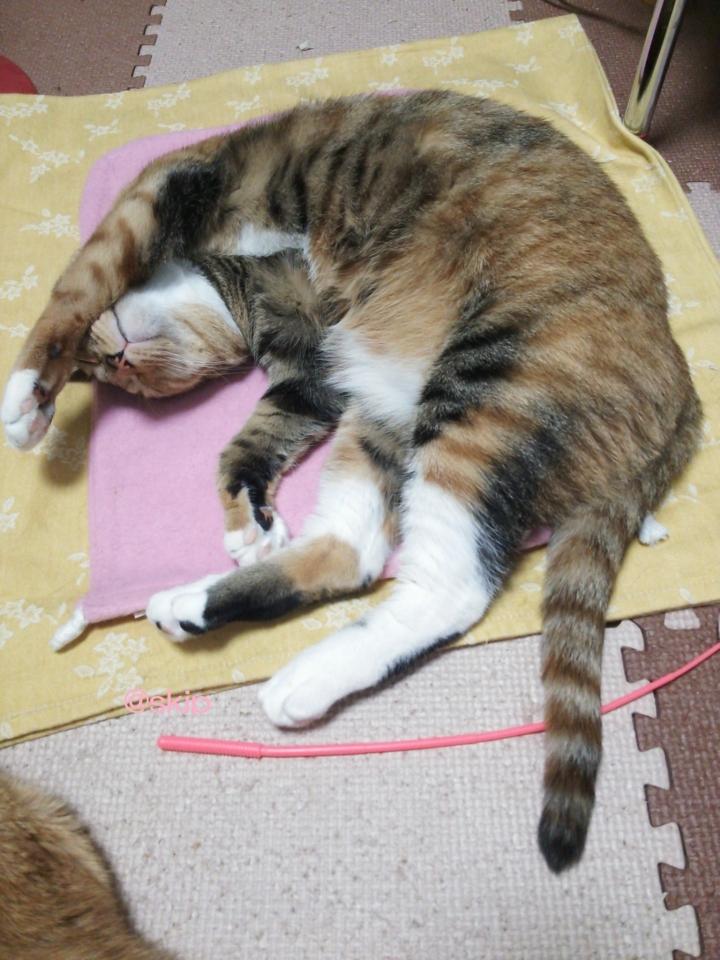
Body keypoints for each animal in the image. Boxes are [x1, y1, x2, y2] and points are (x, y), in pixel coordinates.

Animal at [1, 90, 701, 872]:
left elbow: (76, 285)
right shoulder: (311, 375)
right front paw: (249, 520)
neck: (229, 278)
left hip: (485, 392)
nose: (119, 366)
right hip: (388, 405)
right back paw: (196, 606)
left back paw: (301, 676)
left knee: (449, 585)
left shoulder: (176, 190)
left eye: (112, 370)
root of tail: (680, 385)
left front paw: (29, 398)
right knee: (356, 552)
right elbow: (252, 440)